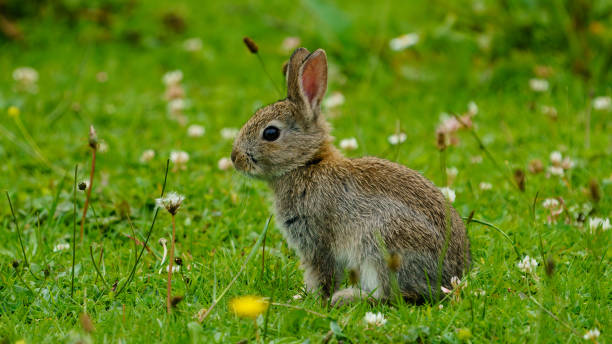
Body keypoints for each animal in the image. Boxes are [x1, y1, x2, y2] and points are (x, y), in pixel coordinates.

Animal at [232, 47, 470, 306]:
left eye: (271, 133)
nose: (235, 158)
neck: (306, 163)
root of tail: (451, 280)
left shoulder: (317, 241)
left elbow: (322, 274)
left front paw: (315, 300)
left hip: (382, 245)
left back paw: (347, 297)